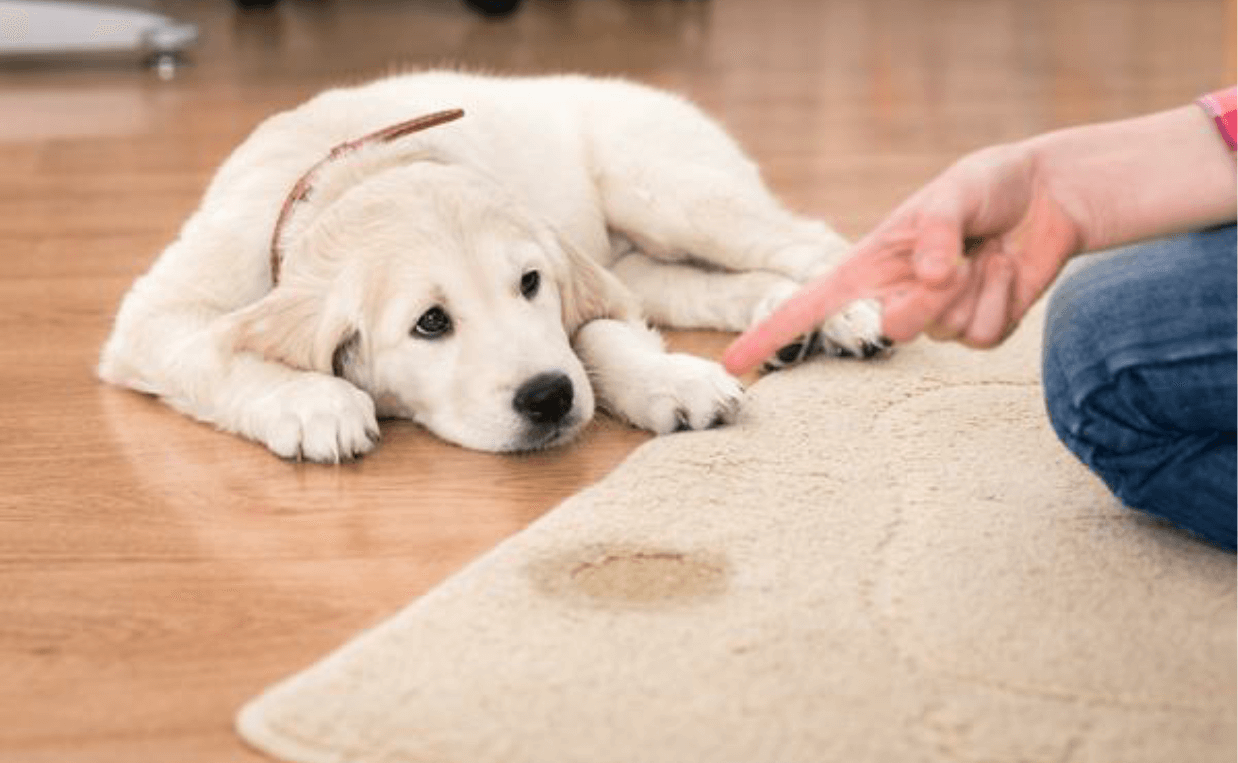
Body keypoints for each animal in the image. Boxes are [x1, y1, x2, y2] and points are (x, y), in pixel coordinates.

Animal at [101, 71, 886, 460]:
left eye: (529, 283)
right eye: (430, 323)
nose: (548, 398)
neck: (355, 170)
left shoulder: (580, 282)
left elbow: (598, 336)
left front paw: (668, 380)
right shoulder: (154, 317)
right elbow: (216, 353)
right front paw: (313, 402)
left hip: (668, 188)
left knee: (807, 238)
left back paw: (847, 312)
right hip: (644, 252)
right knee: (703, 284)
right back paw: (784, 320)